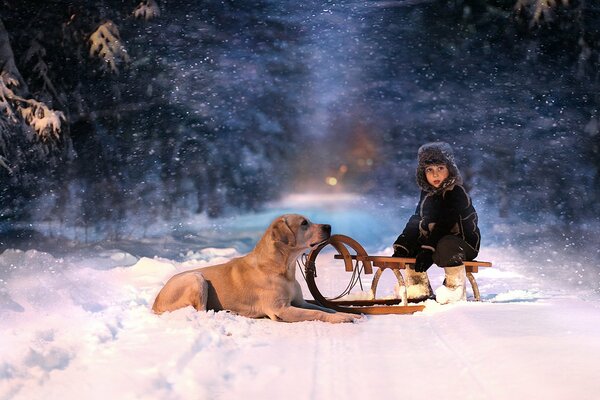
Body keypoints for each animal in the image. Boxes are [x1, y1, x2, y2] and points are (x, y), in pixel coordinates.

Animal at [154, 214, 360, 324]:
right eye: (304, 223)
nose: (328, 226)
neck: (283, 268)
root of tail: (155, 303)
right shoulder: (281, 309)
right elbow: (317, 313)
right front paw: (341, 318)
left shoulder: (299, 302)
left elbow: (324, 308)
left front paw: (345, 313)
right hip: (197, 278)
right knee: (202, 312)